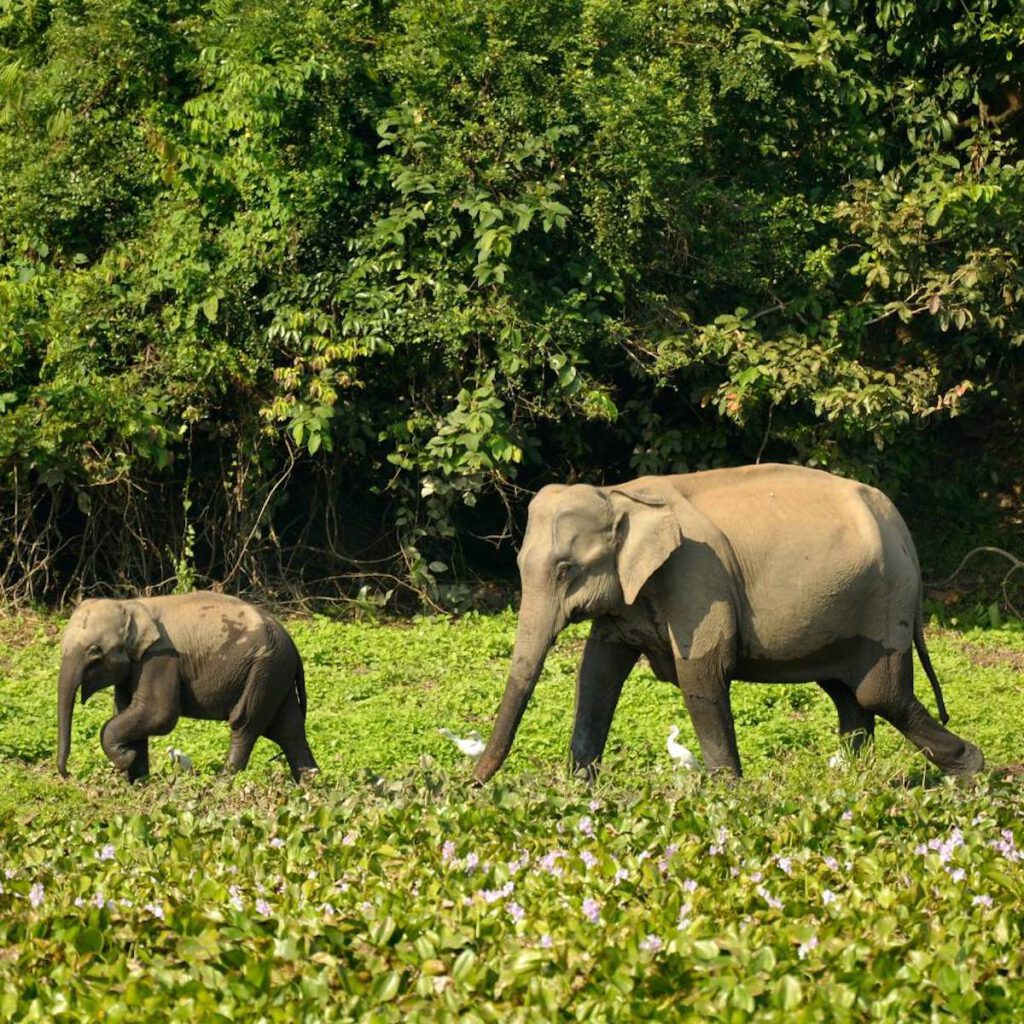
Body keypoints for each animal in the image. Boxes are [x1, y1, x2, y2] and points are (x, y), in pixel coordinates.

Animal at [56, 592, 318, 782]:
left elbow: (158, 715)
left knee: (245, 723)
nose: (68, 775)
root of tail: (291, 643)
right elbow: (128, 713)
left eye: (94, 652)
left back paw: (223, 784)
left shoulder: (161, 658)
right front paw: (139, 783)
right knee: (289, 730)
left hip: (263, 669)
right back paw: (310, 787)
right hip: (276, 674)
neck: (131, 605)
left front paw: (127, 761)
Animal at [474, 464, 984, 783]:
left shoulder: (699, 576)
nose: (472, 786)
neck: (622, 493)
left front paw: (728, 794)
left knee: (880, 693)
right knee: (849, 695)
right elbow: (598, 672)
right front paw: (580, 788)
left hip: (884, 603)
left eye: (566, 569)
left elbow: (700, 675)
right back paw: (851, 778)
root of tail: (900, 524)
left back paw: (970, 771)